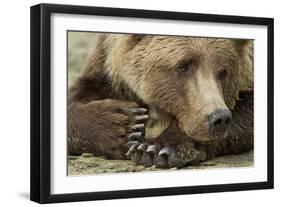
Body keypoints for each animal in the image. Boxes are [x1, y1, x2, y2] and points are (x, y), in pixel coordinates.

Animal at [66, 33, 253, 168]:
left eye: (223, 71)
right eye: (183, 66)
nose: (218, 118)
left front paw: (156, 149)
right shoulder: (107, 65)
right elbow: (81, 94)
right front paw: (124, 124)